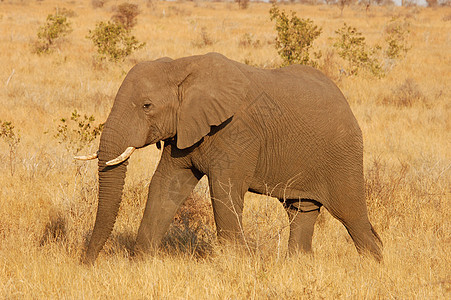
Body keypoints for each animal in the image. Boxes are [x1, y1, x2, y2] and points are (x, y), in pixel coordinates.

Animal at [76, 52, 384, 264]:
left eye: (146, 106)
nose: (87, 263)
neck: (181, 66)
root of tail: (346, 102)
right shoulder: (183, 131)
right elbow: (165, 186)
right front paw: (140, 263)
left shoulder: (237, 131)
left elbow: (224, 191)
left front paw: (235, 262)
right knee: (301, 211)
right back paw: (299, 264)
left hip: (343, 155)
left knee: (351, 214)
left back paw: (373, 266)